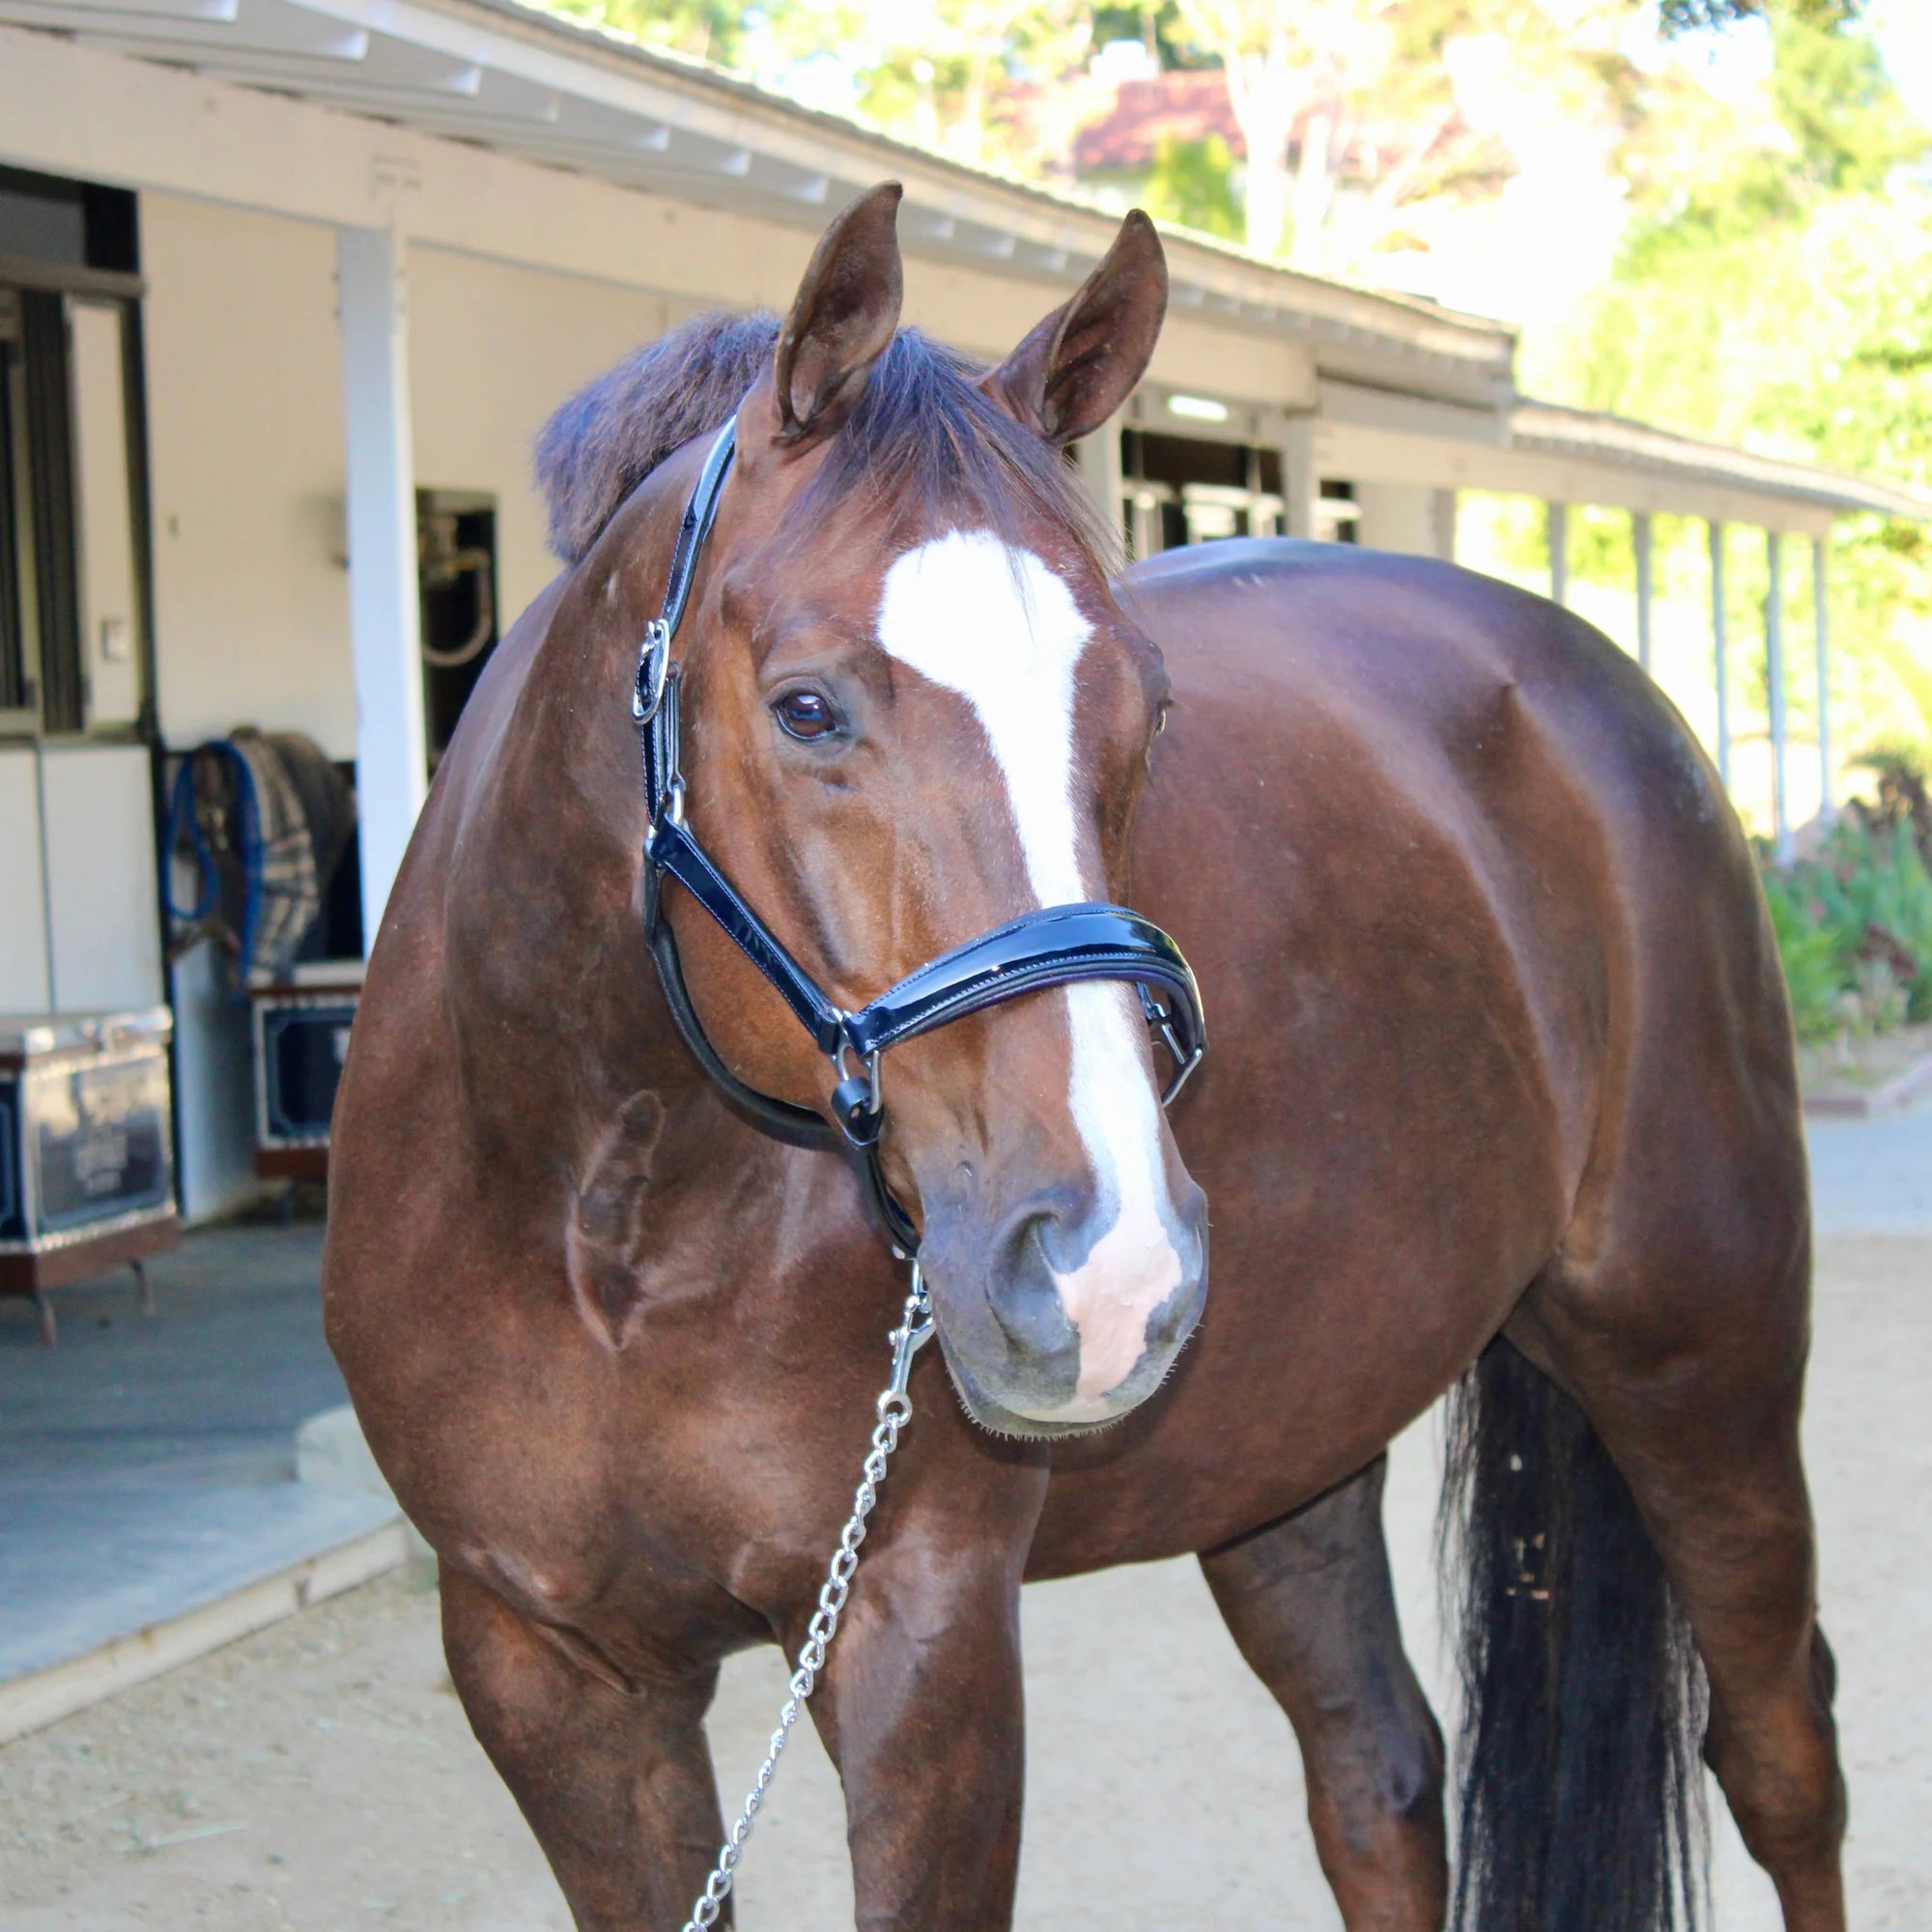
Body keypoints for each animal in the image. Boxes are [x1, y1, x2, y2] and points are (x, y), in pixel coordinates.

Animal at [325, 185, 1847, 1932]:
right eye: (806, 709)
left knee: (1780, 1751)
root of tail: (1599, 694)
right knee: (1380, 1774)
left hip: (1702, 1361)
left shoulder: (919, 1643)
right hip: (1291, 1457)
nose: (1111, 1267)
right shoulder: (551, 1671)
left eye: (1149, 705)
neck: (604, 1208)